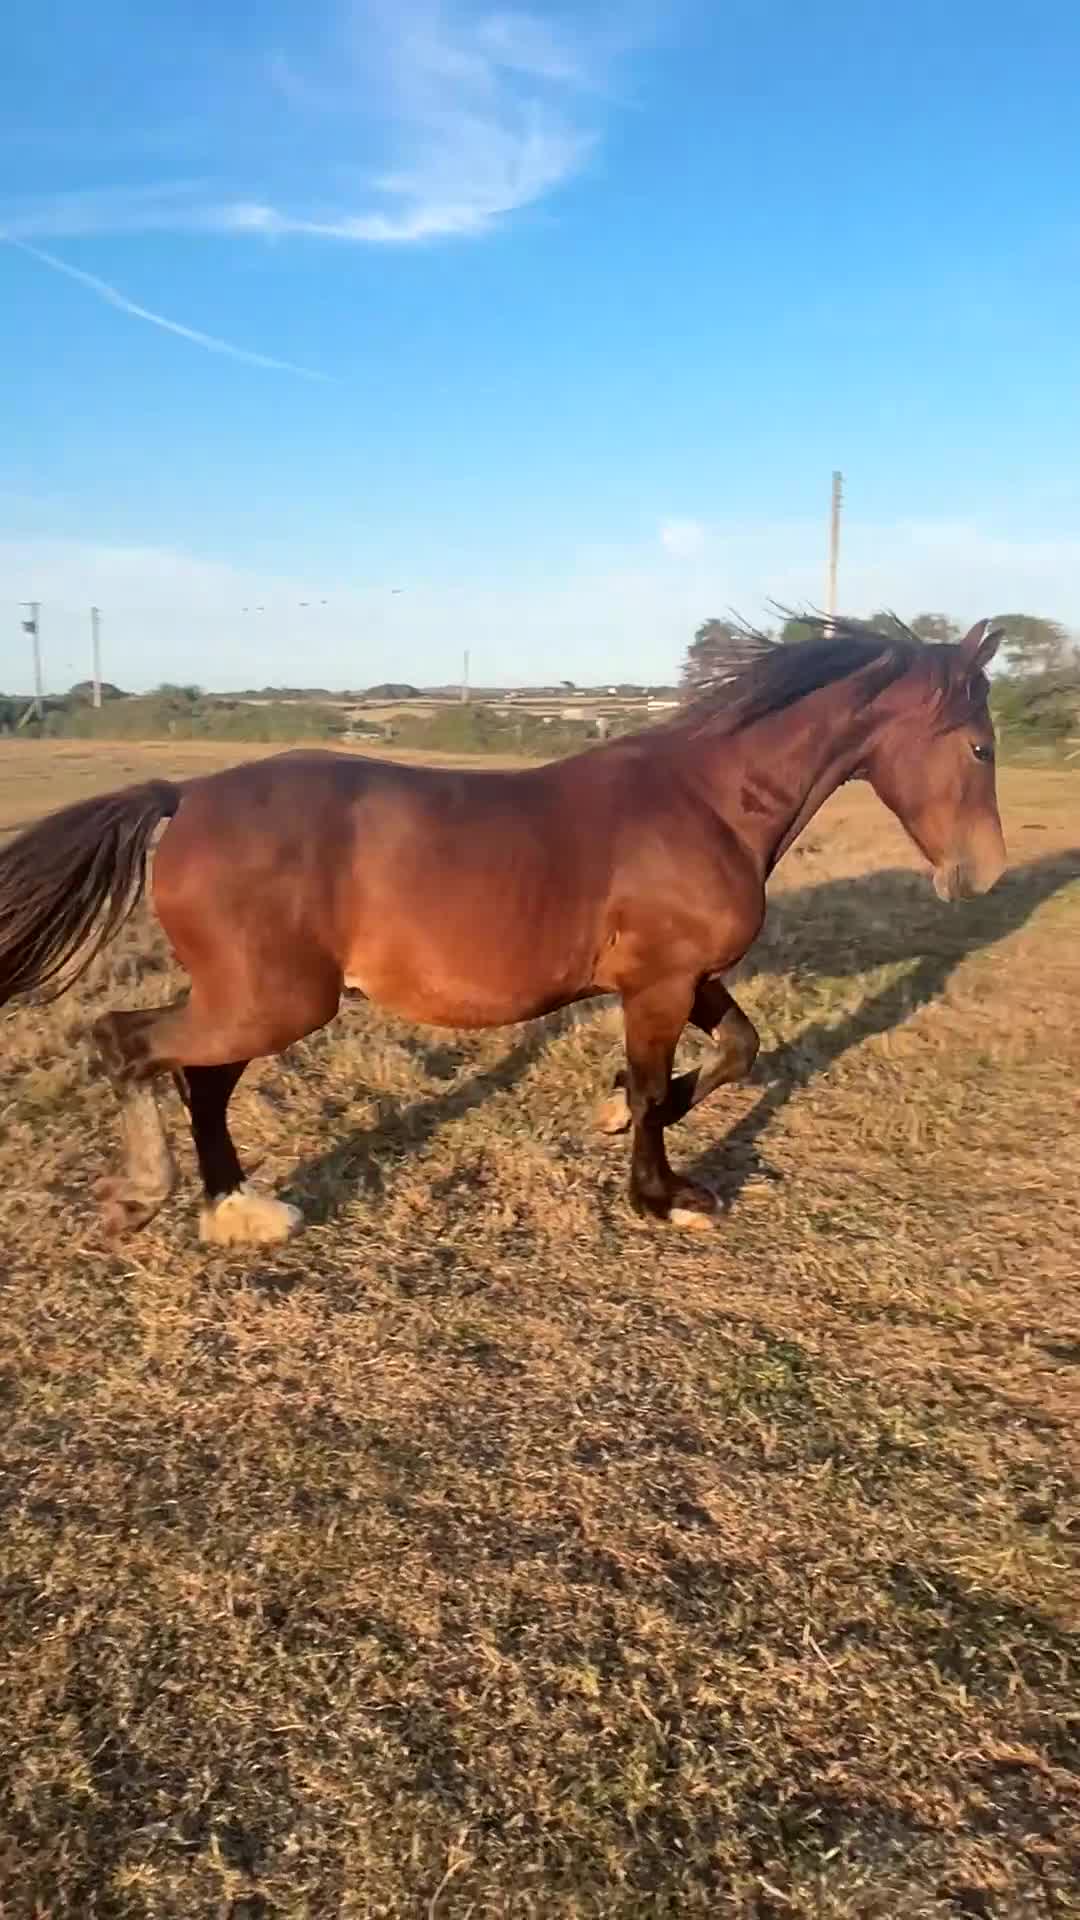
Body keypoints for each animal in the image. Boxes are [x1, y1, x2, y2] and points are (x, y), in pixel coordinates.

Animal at [0, 616, 1005, 1246]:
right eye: (979, 744)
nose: (984, 872)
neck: (706, 800)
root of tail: (185, 797)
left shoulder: (682, 976)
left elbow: (738, 1051)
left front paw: (615, 1113)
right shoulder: (659, 984)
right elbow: (661, 1086)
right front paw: (664, 1195)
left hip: (251, 1000)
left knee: (198, 1080)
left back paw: (238, 1213)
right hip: (271, 1001)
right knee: (127, 1044)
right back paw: (144, 1198)